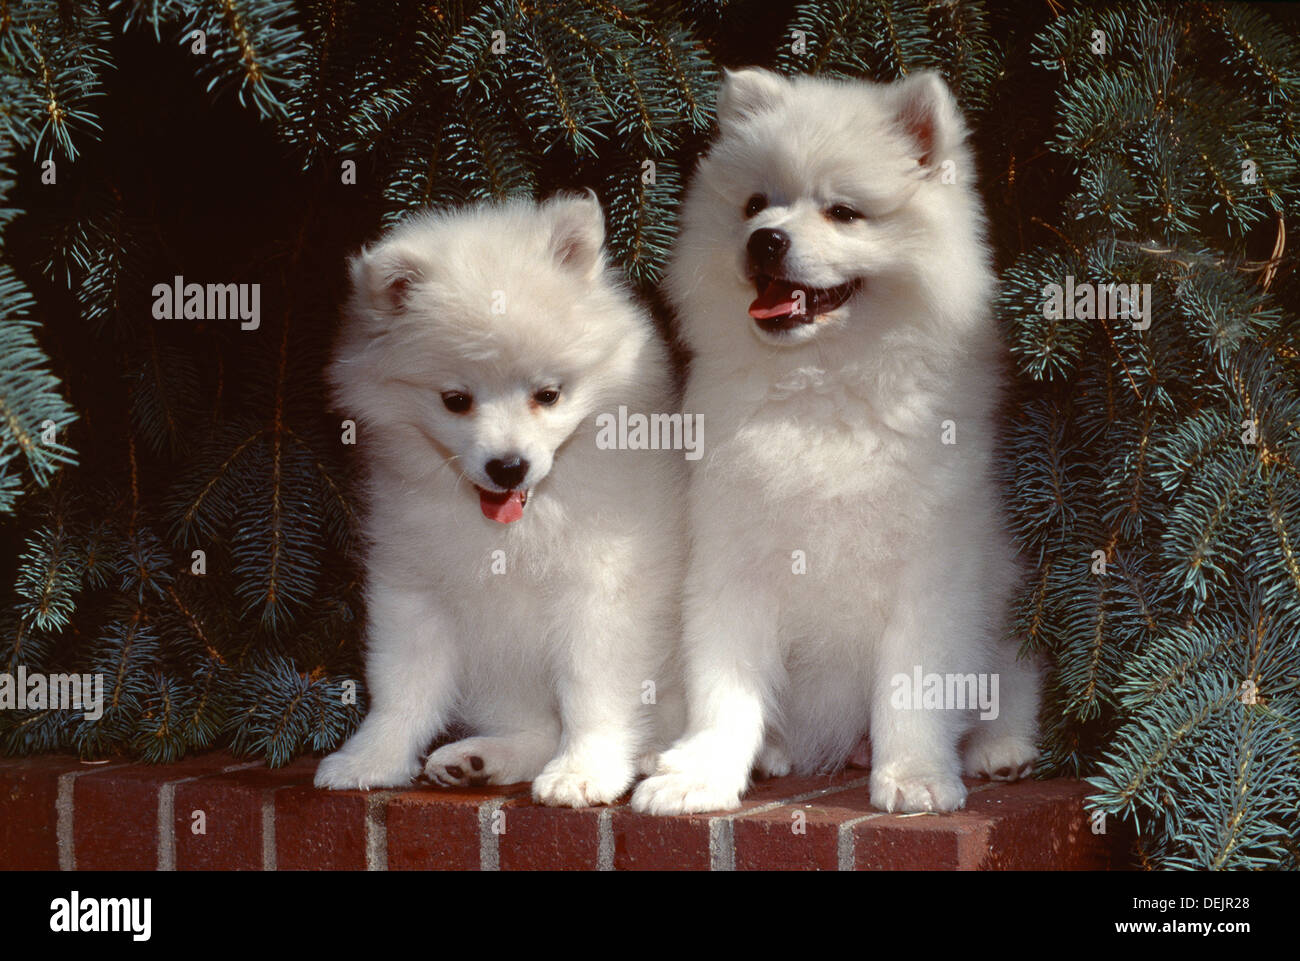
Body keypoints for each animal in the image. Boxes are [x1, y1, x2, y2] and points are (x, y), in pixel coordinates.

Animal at [314, 191, 686, 806]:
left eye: (549, 394)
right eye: (455, 399)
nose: (508, 468)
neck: (511, 531)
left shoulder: (602, 591)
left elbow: (591, 691)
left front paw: (584, 769)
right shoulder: (414, 586)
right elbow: (400, 687)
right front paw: (371, 759)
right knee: (532, 728)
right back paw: (481, 758)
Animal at [634, 71, 1040, 816]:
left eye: (844, 213)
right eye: (755, 205)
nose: (764, 240)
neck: (823, 385)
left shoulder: (931, 575)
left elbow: (913, 686)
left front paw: (913, 775)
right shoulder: (732, 563)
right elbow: (724, 689)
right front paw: (700, 774)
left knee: (1018, 678)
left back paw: (1001, 749)